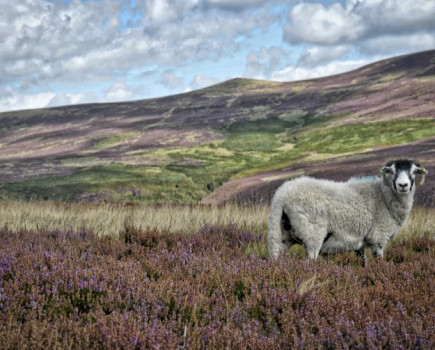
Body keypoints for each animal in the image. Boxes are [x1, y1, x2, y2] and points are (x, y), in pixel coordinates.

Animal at [270, 160, 430, 264]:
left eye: (413, 172)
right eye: (392, 171)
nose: (403, 185)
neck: (383, 196)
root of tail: (281, 194)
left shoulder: (360, 244)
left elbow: (363, 263)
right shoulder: (378, 238)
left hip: (282, 236)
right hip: (312, 235)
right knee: (310, 260)